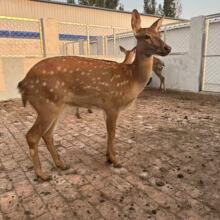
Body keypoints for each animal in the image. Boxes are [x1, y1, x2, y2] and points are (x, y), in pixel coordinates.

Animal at [18, 9, 171, 180]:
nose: (168, 48)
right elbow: (112, 133)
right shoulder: (112, 104)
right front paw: (115, 160)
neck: (131, 79)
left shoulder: (106, 107)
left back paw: (61, 164)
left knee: (47, 135)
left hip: (57, 107)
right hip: (46, 104)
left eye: (159, 33)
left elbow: (108, 133)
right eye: (146, 36)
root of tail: (23, 83)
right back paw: (42, 175)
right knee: (32, 136)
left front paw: (108, 157)